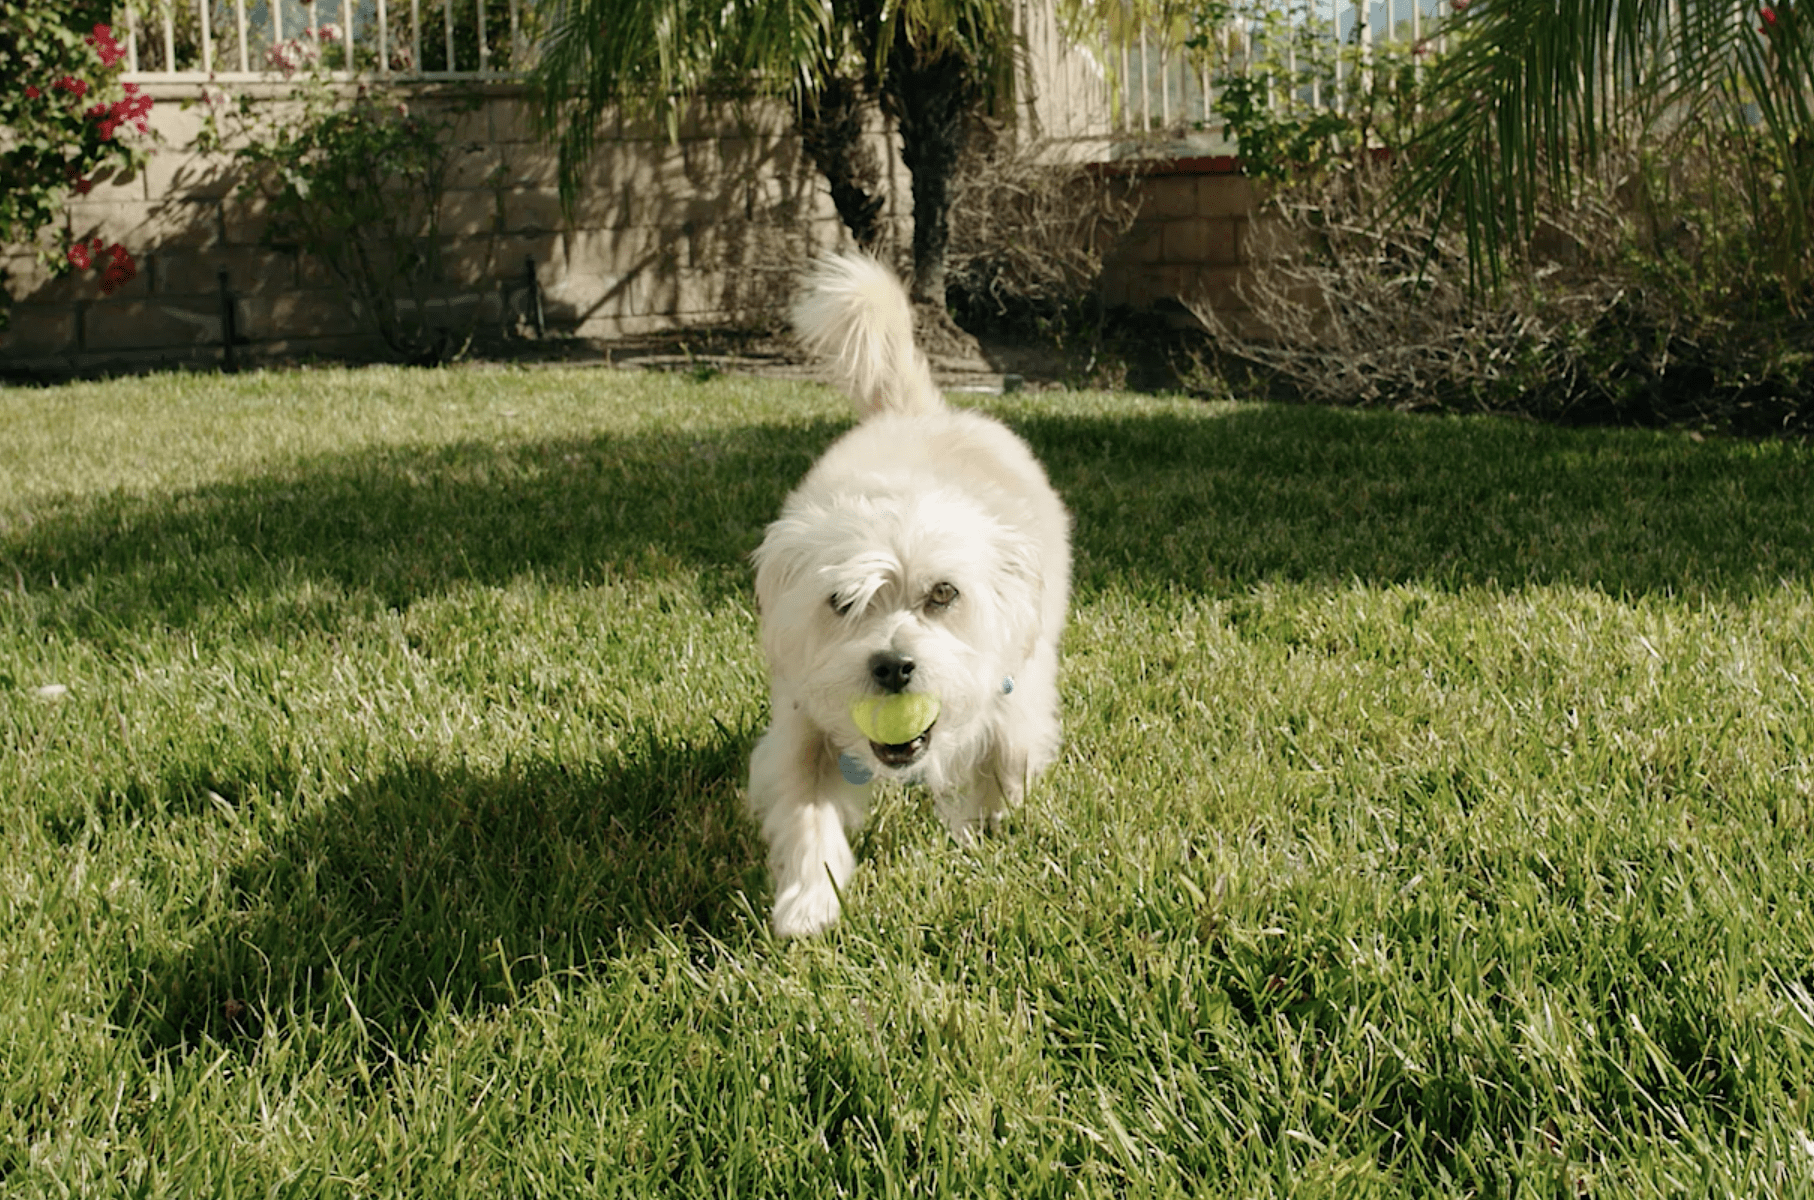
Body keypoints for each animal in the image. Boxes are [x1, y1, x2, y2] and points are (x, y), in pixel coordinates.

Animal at [747, 255, 1066, 942]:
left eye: (944, 593)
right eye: (842, 601)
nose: (892, 666)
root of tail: (919, 411)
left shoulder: (1016, 687)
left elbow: (1007, 756)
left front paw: (981, 823)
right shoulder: (803, 726)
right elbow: (807, 812)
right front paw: (808, 902)